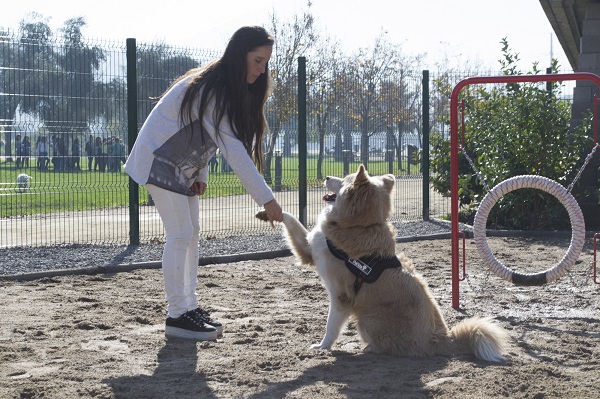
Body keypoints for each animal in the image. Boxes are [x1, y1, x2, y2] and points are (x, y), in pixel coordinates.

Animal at [255, 165, 508, 362]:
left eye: (344, 179)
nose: (326, 177)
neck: (358, 226)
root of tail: (441, 339)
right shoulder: (309, 249)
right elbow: (291, 220)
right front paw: (268, 213)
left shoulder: (342, 297)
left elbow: (331, 325)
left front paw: (323, 346)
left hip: (367, 320)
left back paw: (370, 349)